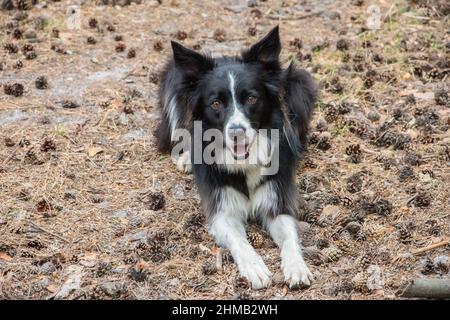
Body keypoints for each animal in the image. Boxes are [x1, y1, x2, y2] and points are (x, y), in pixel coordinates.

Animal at [156, 26, 318, 288]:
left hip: (298, 82)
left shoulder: (277, 200)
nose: (236, 132)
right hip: (173, 80)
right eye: (216, 103)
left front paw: (296, 267)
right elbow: (239, 240)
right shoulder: (221, 211)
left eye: (251, 98)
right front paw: (254, 267)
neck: (244, 162)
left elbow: (290, 237)